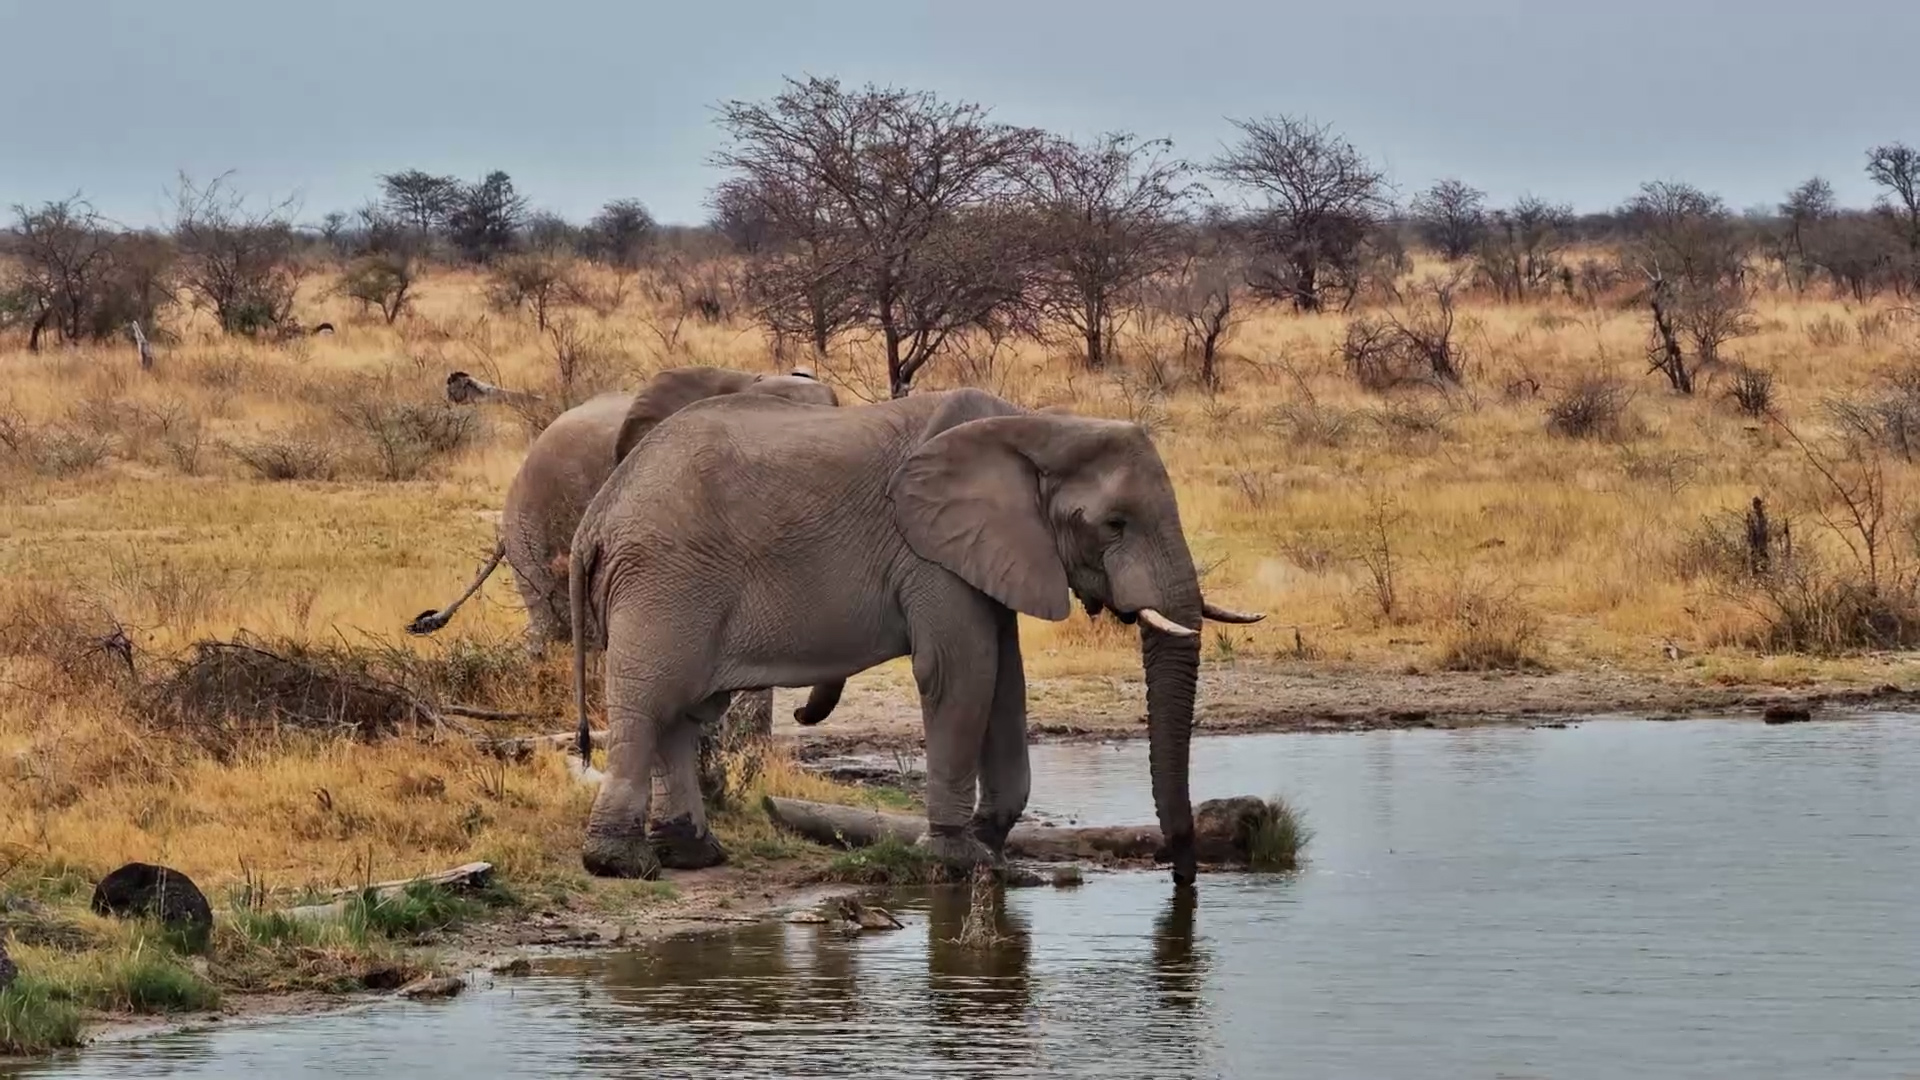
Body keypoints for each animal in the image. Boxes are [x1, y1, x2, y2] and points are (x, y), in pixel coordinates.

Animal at [568, 387, 1263, 883]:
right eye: (1114, 523)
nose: (1182, 874)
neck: (1036, 426)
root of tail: (595, 515)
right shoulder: (929, 552)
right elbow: (962, 670)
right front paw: (959, 860)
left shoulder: (988, 552)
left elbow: (1005, 679)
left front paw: (991, 845)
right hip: (663, 581)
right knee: (650, 703)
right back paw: (622, 865)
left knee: (683, 715)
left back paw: (695, 856)